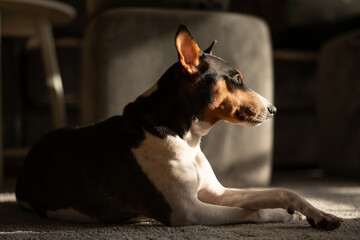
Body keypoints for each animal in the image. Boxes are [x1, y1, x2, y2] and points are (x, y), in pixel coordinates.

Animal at [16, 24, 344, 231]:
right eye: (236, 78)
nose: (274, 109)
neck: (187, 139)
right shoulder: (187, 211)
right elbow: (253, 211)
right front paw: (284, 217)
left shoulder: (215, 192)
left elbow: (282, 191)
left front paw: (318, 214)